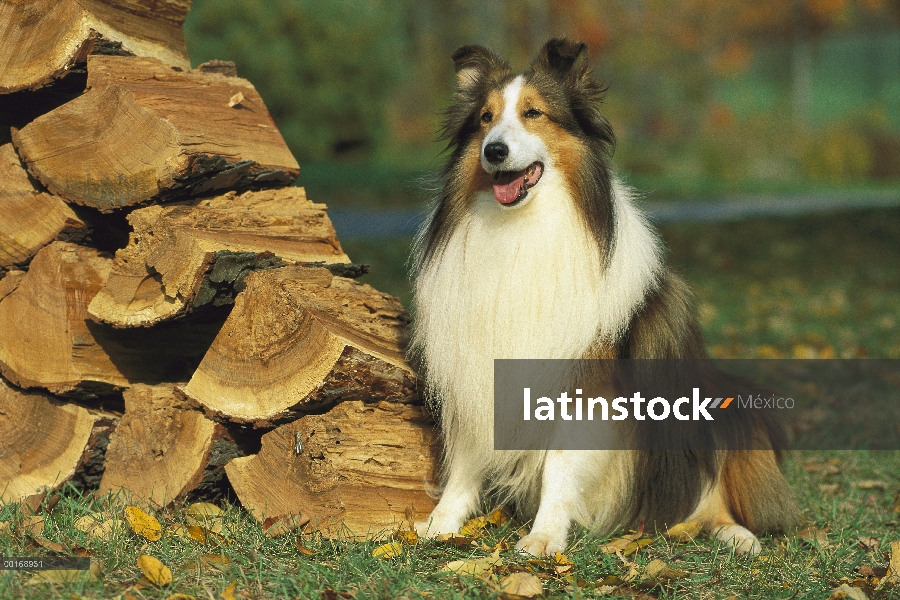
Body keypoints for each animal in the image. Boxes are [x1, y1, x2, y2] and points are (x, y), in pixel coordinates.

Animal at [408, 38, 796, 556]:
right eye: (486, 118)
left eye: (533, 113)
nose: (494, 151)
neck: (522, 230)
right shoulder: (474, 364)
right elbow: (466, 459)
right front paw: (440, 523)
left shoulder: (585, 381)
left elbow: (559, 465)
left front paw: (544, 537)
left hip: (725, 408)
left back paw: (737, 535)